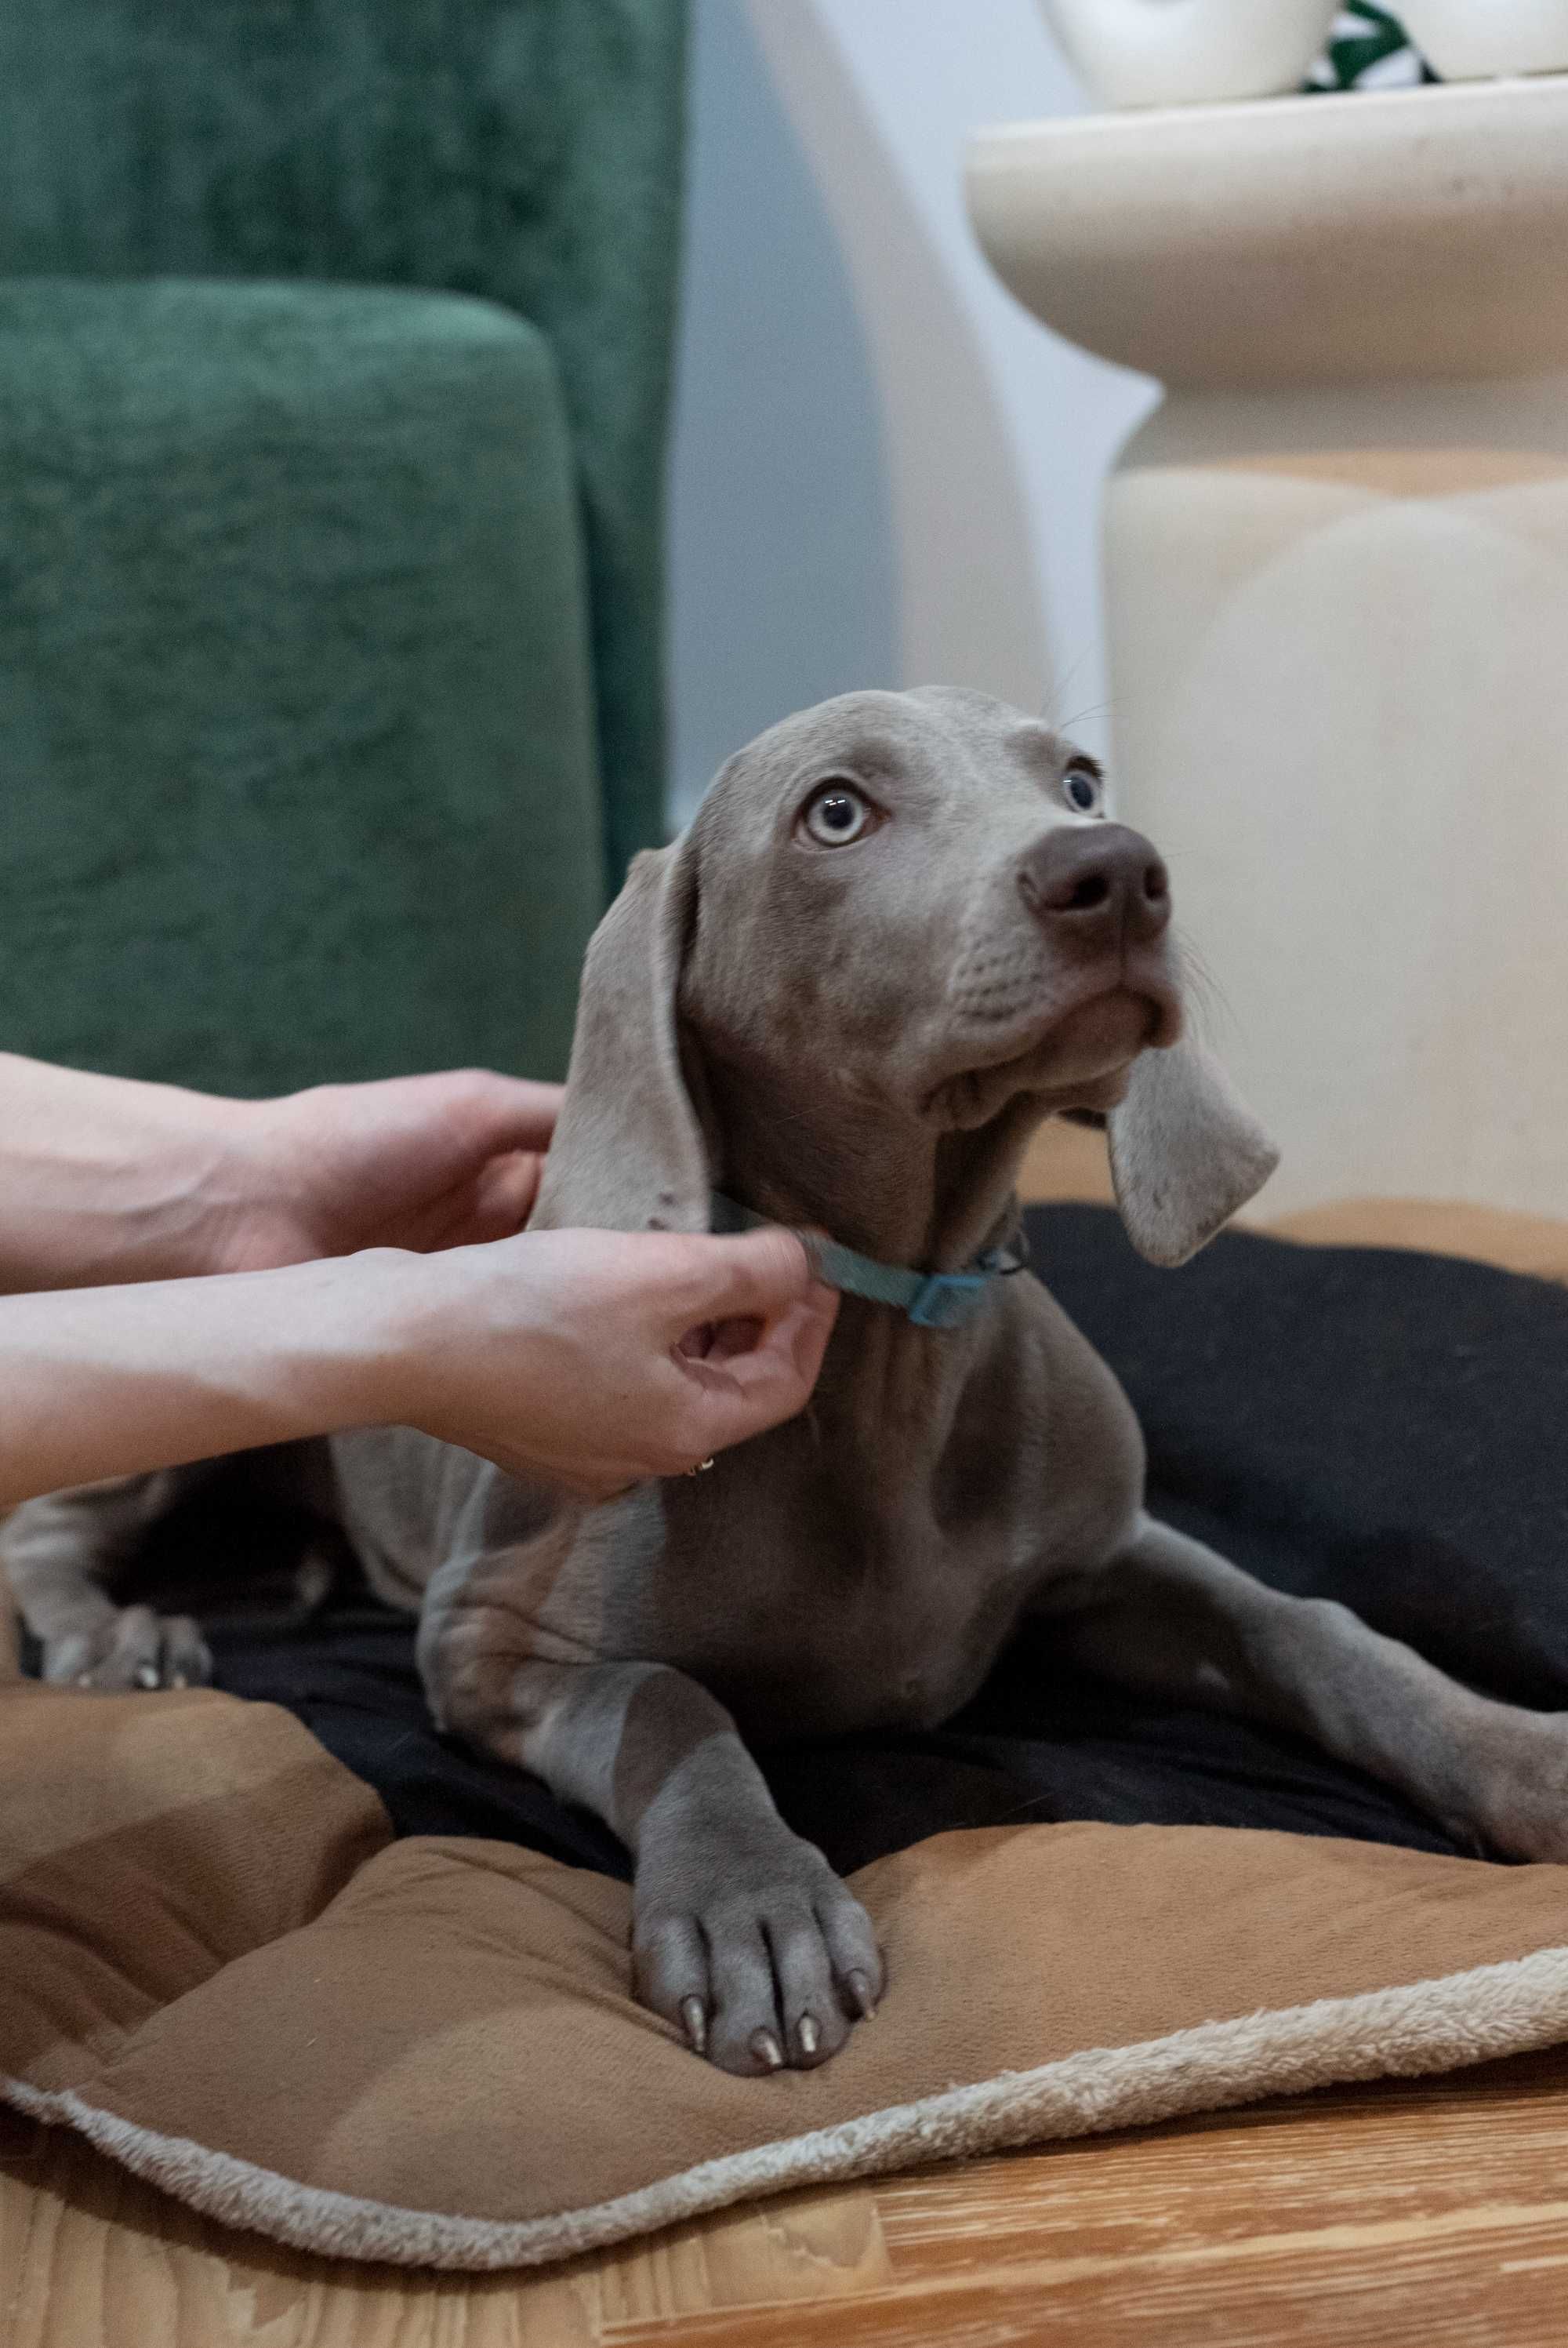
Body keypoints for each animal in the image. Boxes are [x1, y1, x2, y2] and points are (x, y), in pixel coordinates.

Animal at [5, 685, 1559, 2075]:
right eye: (836, 811)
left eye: (1077, 780)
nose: (1117, 872)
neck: (894, 1348)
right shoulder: (489, 1636)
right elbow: (676, 1703)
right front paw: (753, 1904)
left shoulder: (1113, 1556)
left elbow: (1316, 1625)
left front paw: (1514, 1748)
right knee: (49, 1533)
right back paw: (124, 1634)